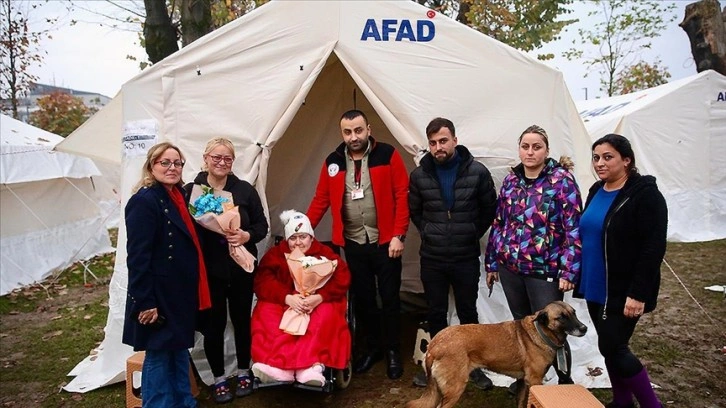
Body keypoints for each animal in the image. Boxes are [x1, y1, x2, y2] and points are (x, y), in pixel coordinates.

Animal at [406, 300, 588, 408]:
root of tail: (434, 344)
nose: (584, 328)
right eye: (561, 317)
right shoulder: (535, 381)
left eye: (574, 313)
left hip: (439, 389)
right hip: (455, 387)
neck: (540, 332)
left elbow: (520, 403)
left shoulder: (523, 381)